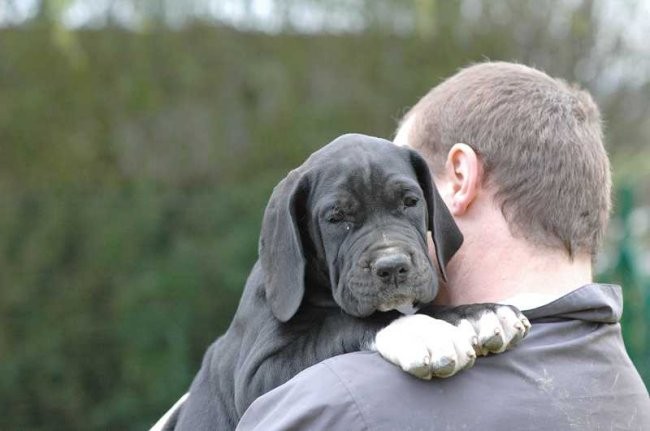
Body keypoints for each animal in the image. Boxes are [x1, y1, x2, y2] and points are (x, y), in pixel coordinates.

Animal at [161, 135, 528, 431]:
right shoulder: (256, 376)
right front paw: (421, 333)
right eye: (336, 218)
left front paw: (480, 314)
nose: (393, 266)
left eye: (410, 202)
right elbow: (342, 324)